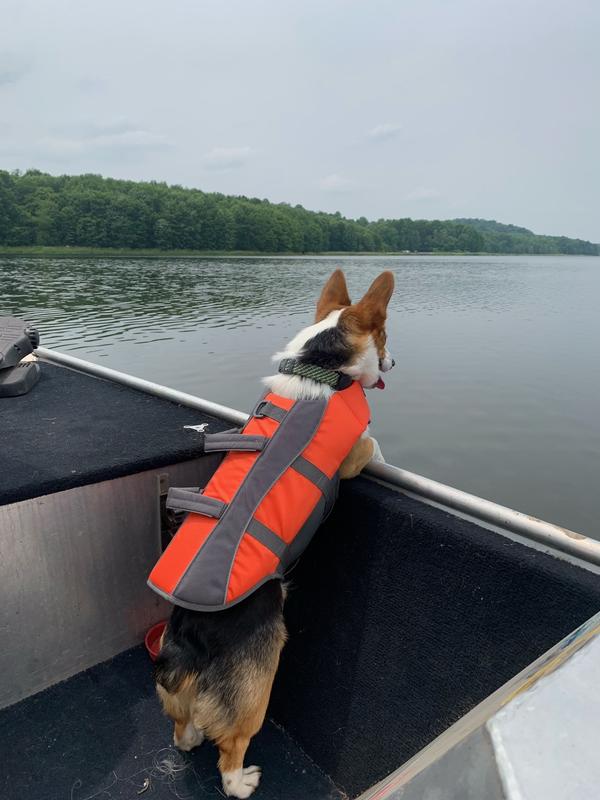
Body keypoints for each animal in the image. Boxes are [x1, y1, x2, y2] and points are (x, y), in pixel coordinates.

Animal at [156, 272, 394, 796]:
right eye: (387, 335)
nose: (393, 363)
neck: (320, 366)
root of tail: (191, 636)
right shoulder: (351, 456)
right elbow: (373, 444)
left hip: (179, 693)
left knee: (183, 730)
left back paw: (191, 736)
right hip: (257, 686)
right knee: (231, 748)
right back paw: (241, 780)